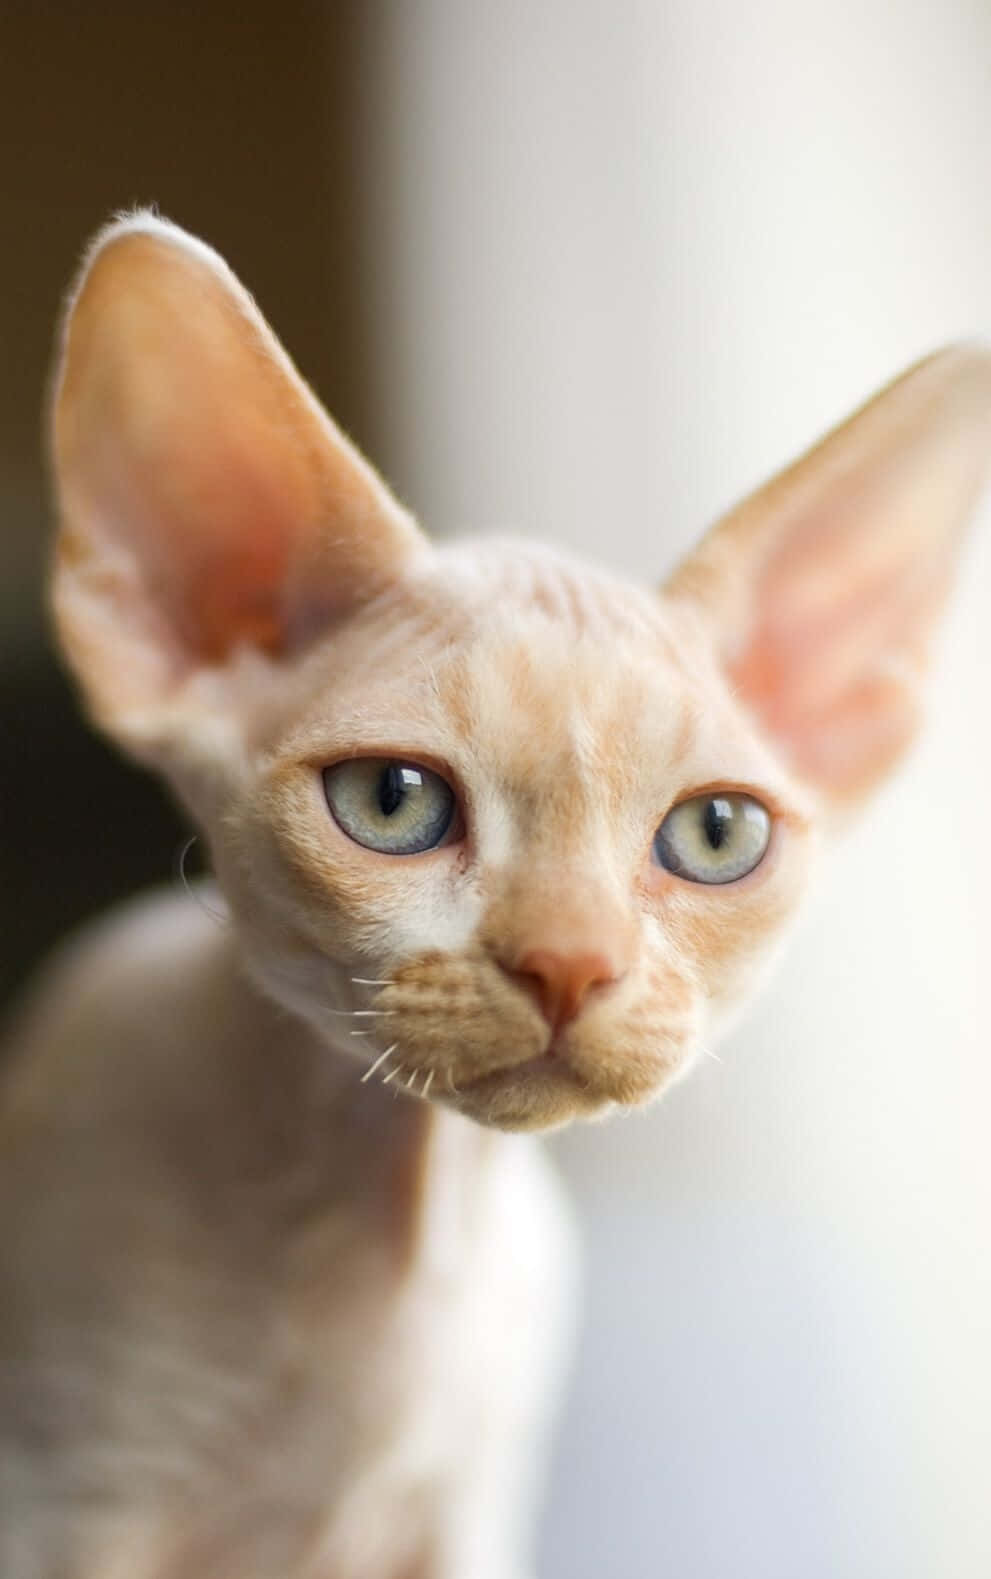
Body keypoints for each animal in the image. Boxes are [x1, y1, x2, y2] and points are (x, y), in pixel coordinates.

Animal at [0, 213, 984, 1579]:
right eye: (392, 802)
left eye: (716, 833)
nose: (571, 962)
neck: (398, 1247)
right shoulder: (75, 1501)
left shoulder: (465, 1516)